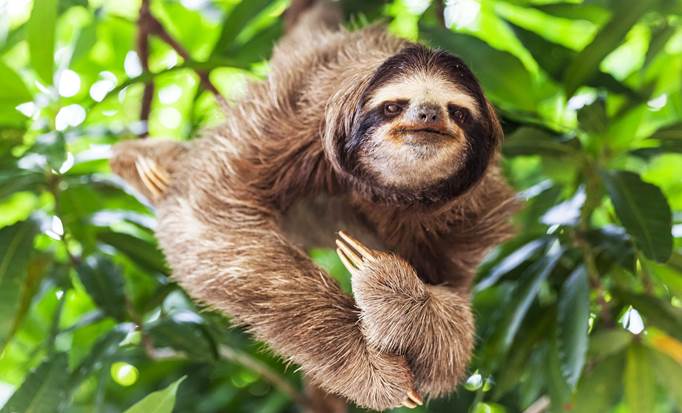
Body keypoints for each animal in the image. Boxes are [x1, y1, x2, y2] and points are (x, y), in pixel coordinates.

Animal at [109, 3, 518, 411]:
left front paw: (398, 298)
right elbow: (209, 218)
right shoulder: (288, 121)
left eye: (458, 112)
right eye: (392, 107)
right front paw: (369, 366)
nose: (429, 114)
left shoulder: (469, 218)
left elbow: (451, 342)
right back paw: (151, 167)